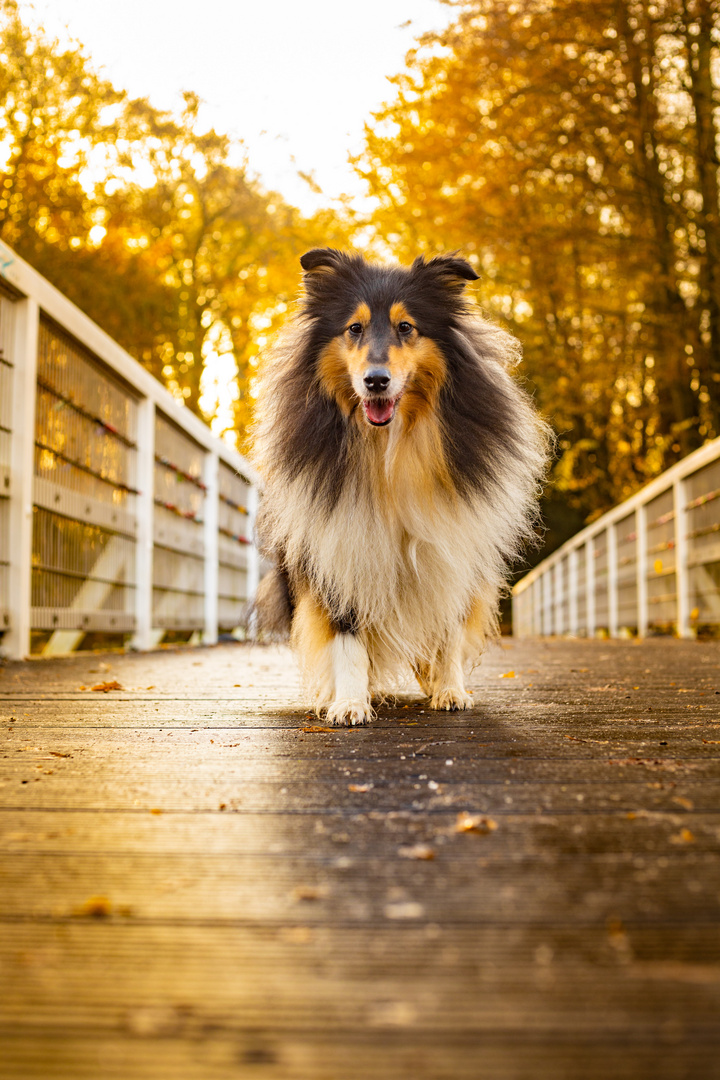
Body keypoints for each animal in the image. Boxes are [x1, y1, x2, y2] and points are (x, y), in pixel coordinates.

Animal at [250, 248, 548, 725]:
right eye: (354, 328)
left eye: (406, 327)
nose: (376, 380)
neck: (391, 445)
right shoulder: (340, 544)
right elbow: (347, 638)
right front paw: (350, 704)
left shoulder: (452, 544)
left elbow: (448, 629)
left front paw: (449, 690)